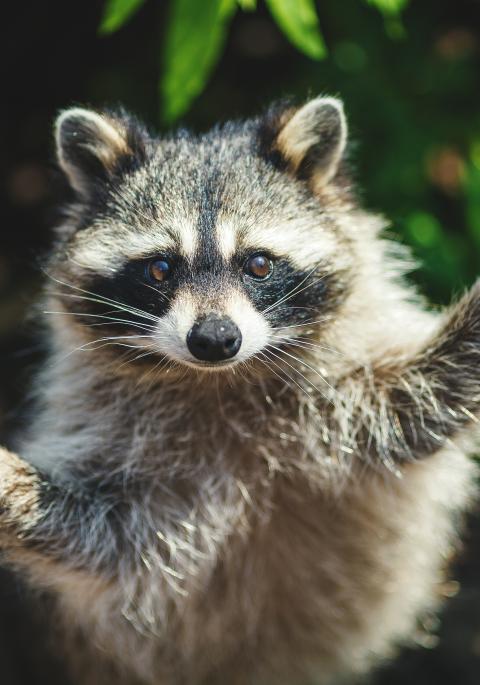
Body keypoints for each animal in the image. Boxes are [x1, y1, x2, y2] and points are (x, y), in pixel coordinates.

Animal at [0, 96, 479, 685]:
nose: (214, 339)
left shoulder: (343, 407)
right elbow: (97, 538)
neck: (218, 380)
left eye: (258, 263)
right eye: (160, 268)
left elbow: (420, 405)